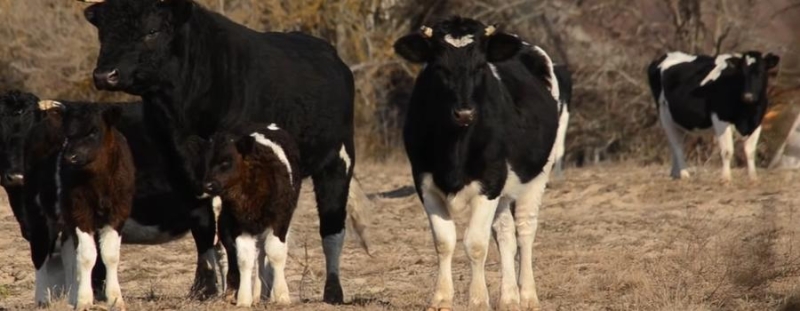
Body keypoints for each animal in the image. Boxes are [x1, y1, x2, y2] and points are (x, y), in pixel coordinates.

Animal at [56, 103, 134, 310]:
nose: (70, 157)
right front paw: (84, 299)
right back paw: (74, 295)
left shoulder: (118, 212)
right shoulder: (79, 212)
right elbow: (86, 256)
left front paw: (115, 298)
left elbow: (110, 255)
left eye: (94, 131)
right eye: (67, 133)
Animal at [198, 123, 302, 308]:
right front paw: (244, 299)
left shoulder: (280, 220)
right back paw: (255, 295)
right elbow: (245, 258)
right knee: (255, 255)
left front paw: (282, 295)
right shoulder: (240, 225)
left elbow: (276, 254)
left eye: (226, 161)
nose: (207, 185)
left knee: (264, 253)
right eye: (206, 163)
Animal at [392, 17, 556, 311]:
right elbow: (444, 241)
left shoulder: (490, 182)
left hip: (537, 175)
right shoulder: (424, 182)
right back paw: (509, 297)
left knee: (525, 230)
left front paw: (478, 299)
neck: (455, 147)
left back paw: (527, 295)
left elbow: (476, 244)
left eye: (480, 66)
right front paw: (441, 298)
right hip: (505, 190)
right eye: (439, 67)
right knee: (505, 234)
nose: (465, 113)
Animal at [648, 51, 780, 183]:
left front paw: (753, 177)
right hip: (664, 115)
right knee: (677, 145)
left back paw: (675, 173)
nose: (748, 96)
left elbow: (750, 151)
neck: (747, 113)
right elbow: (727, 151)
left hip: (678, 121)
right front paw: (726, 178)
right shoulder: (721, 120)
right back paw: (684, 174)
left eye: (761, 72)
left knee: (674, 144)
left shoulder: (757, 122)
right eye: (741, 73)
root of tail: (667, 54)